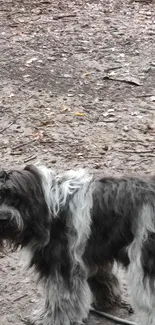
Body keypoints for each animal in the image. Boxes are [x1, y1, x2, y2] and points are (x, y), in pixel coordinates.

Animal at [0, 165, 154, 324]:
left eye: (16, 197)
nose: (4, 218)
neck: (48, 206)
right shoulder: (90, 253)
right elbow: (100, 276)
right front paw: (105, 300)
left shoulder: (60, 263)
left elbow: (58, 297)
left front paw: (50, 318)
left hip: (143, 256)